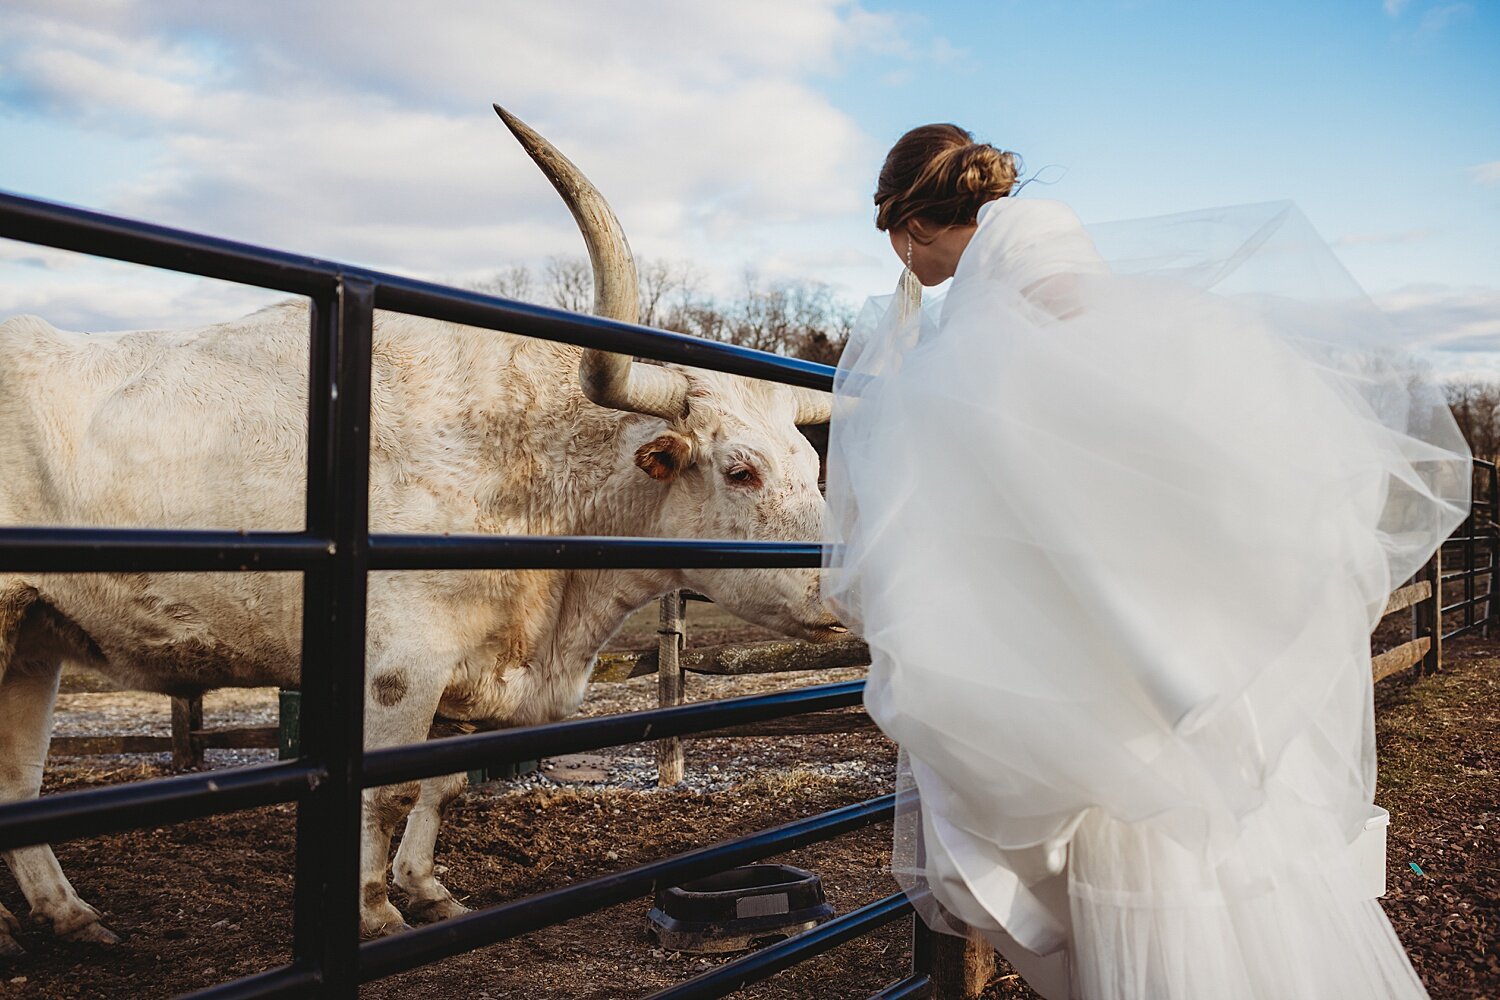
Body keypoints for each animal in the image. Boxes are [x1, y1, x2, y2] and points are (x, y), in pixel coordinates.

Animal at [0, 107, 840, 953]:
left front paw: (426, 889)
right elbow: (386, 793)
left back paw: (65, 914)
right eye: (740, 470)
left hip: (36, 634)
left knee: (17, 779)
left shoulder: (467, 680)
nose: (845, 592)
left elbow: (441, 788)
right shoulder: (400, 670)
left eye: (812, 465)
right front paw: (373, 910)